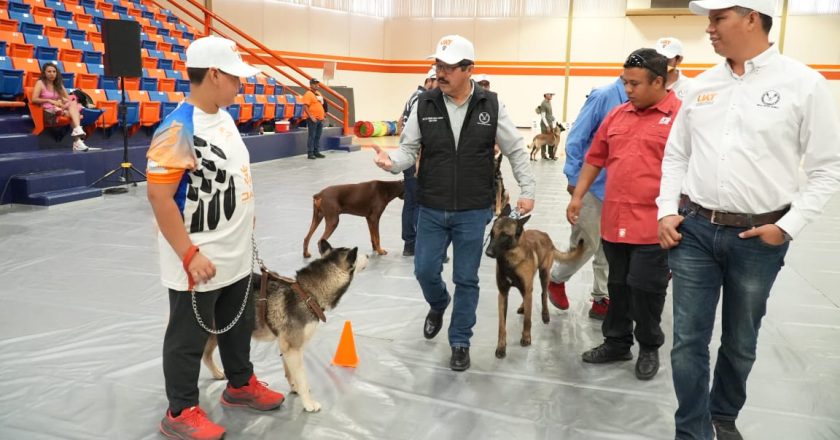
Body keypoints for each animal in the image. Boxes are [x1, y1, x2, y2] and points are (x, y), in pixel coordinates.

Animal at [203, 239, 368, 410]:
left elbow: (291, 372)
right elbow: (302, 378)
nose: (369, 255)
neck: (308, 294)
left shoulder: (288, 347)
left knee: (206, 356)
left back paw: (216, 373)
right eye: (357, 255)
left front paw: (295, 388)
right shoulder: (293, 348)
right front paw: (308, 403)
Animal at [486, 205, 584, 360]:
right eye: (492, 233)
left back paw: (545, 315)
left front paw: (526, 338)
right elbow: (502, 326)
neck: (510, 260)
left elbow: (527, 320)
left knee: (544, 294)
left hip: (544, 275)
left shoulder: (526, 289)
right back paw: (523, 306)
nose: (488, 252)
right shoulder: (503, 294)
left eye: (505, 235)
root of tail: (546, 236)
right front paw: (501, 347)